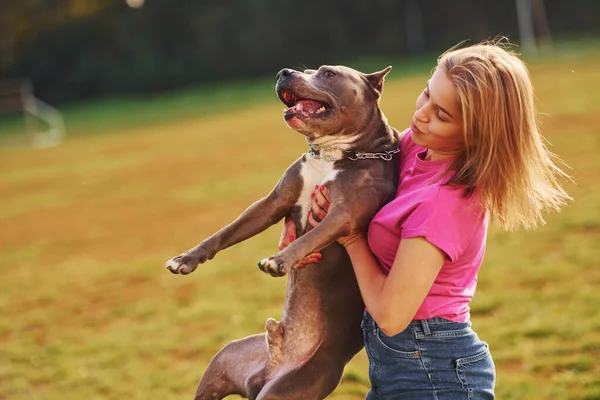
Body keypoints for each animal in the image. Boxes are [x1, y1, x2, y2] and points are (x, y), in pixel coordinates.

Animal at [164, 64, 400, 398]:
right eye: (308, 69)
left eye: (328, 73)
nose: (284, 72)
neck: (331, 154)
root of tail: (268, 369)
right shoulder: (272, 204)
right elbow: (224, 232)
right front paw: (186, 259)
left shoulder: (343, 213)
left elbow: (310, 237)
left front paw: (279, 261)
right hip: (223, 362)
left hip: (290, 386)